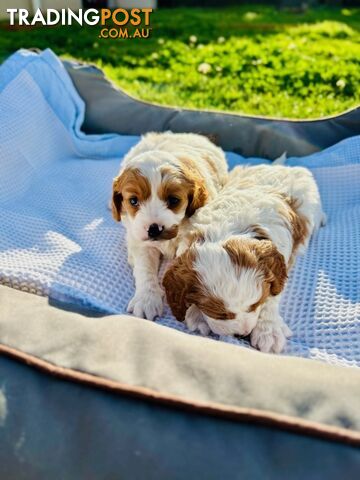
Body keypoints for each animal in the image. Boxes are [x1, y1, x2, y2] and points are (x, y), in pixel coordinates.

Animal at [112, 130, 228, 322]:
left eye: (173, 200)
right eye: (133, 201)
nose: (154, 229)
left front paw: (197, 312)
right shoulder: (140, 242)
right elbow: (144, 268)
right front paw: (147, 299)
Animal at [162, 165, 324, 352]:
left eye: (255, 304)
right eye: (221, 314)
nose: (242, 335)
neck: (225, 231)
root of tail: (283, 166)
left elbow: (273, 295)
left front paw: (268, 330)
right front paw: (196, 314)